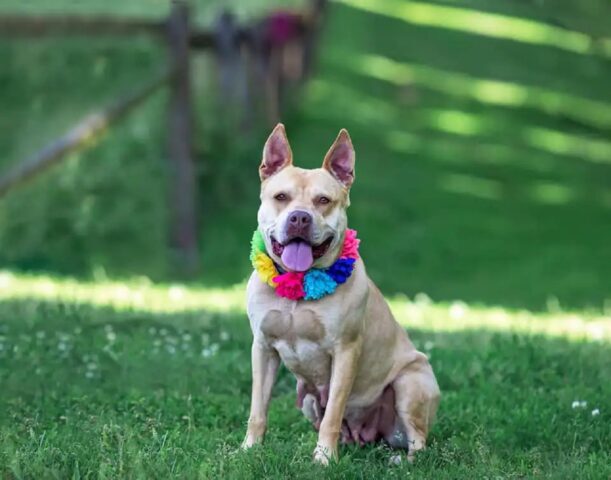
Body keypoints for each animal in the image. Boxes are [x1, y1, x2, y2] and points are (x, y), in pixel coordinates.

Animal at [243, 124, 440, 464]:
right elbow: (258, 408)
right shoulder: (263, 348)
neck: (298, 284)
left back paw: (403, 460)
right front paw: (248, 450)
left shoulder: (346, 352)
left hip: (411, 383)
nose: (299, 217)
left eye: (324, 200)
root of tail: (370, 434)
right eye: (281, 197)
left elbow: (333, 412)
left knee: (419, 441)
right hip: (309, 400)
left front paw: (323, 459)